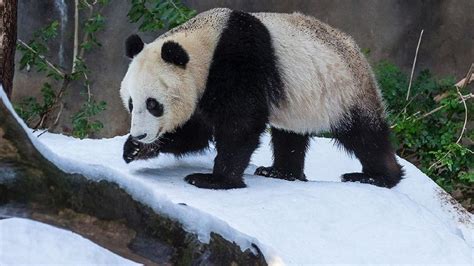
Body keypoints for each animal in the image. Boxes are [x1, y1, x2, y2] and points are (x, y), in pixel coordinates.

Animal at [121, 7, 404, 189]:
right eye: (131, 103)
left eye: (153, 104)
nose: (141, 134)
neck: (204, 43)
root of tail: (358, 53)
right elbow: (197, 133)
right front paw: (134, 149)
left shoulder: (239, 61)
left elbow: (240, 125)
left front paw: (214, 180)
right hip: (300, 100)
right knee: (290, 136)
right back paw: (281, 172)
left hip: (343, 91)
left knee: (365, 136)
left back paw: (377, 177)